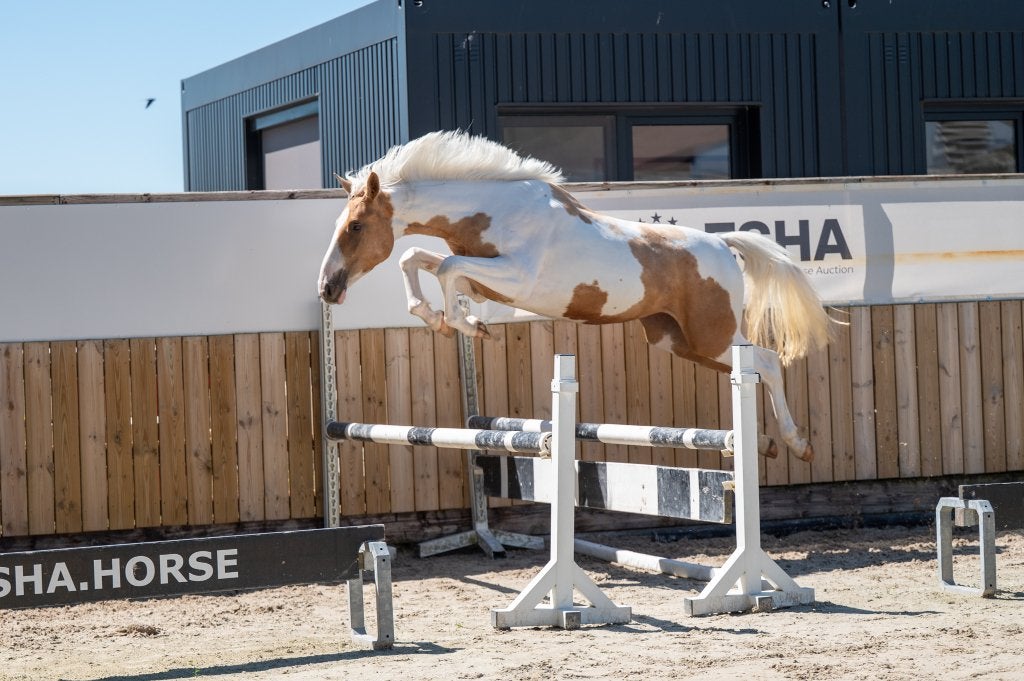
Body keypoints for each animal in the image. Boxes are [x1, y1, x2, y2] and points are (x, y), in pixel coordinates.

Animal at [318, 131, 834, 461]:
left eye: (356, 226)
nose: (327, 288)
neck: (493, 210)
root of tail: (725, 245)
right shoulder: (486, 276)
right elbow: (418, 260)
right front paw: (443, 317)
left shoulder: (515, 278)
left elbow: (445, 268)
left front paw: (466, 324)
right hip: (679, 342)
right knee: (754, 367)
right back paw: (769, 444)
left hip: (713, 336)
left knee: (767, 361)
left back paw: (798, 444)